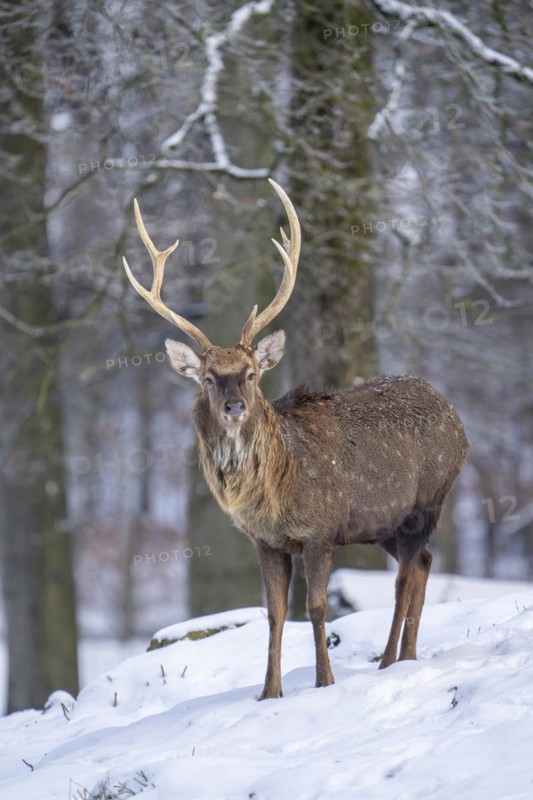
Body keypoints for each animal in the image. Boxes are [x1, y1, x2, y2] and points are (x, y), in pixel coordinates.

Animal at [123, 180, 469, 700]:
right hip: (383, 523)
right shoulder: (266, 543)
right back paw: (406, 656)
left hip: (427, 500)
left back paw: (389, 660)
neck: (273, 492)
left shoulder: (320, 531)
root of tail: (458, 419)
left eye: (250, 374)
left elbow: (319, 607)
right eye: (208, 378)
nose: (234, 407)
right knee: (425, 564)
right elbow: (275, 613)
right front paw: (269, 693)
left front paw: (325, 682)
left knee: (406, 576)